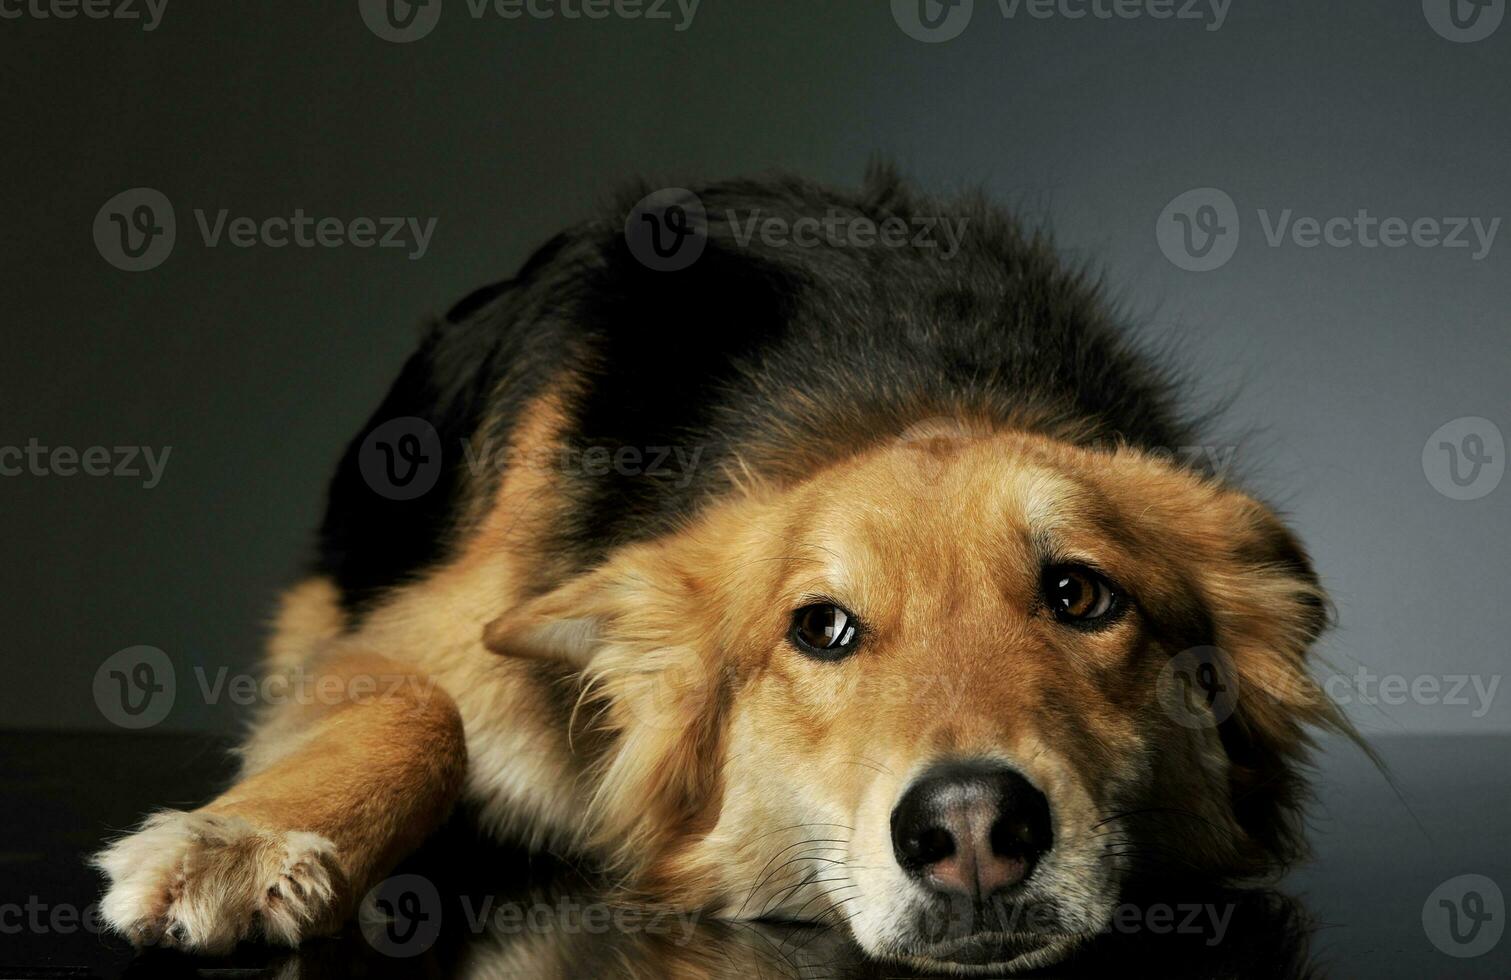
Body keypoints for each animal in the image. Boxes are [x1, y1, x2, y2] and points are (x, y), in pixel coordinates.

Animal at [88, 168, 1353, 972]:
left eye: (1080, 593)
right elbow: (416, 709)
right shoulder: (402, 635)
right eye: (821, 626)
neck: (896, 378)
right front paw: (239, 841)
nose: (972, 826)